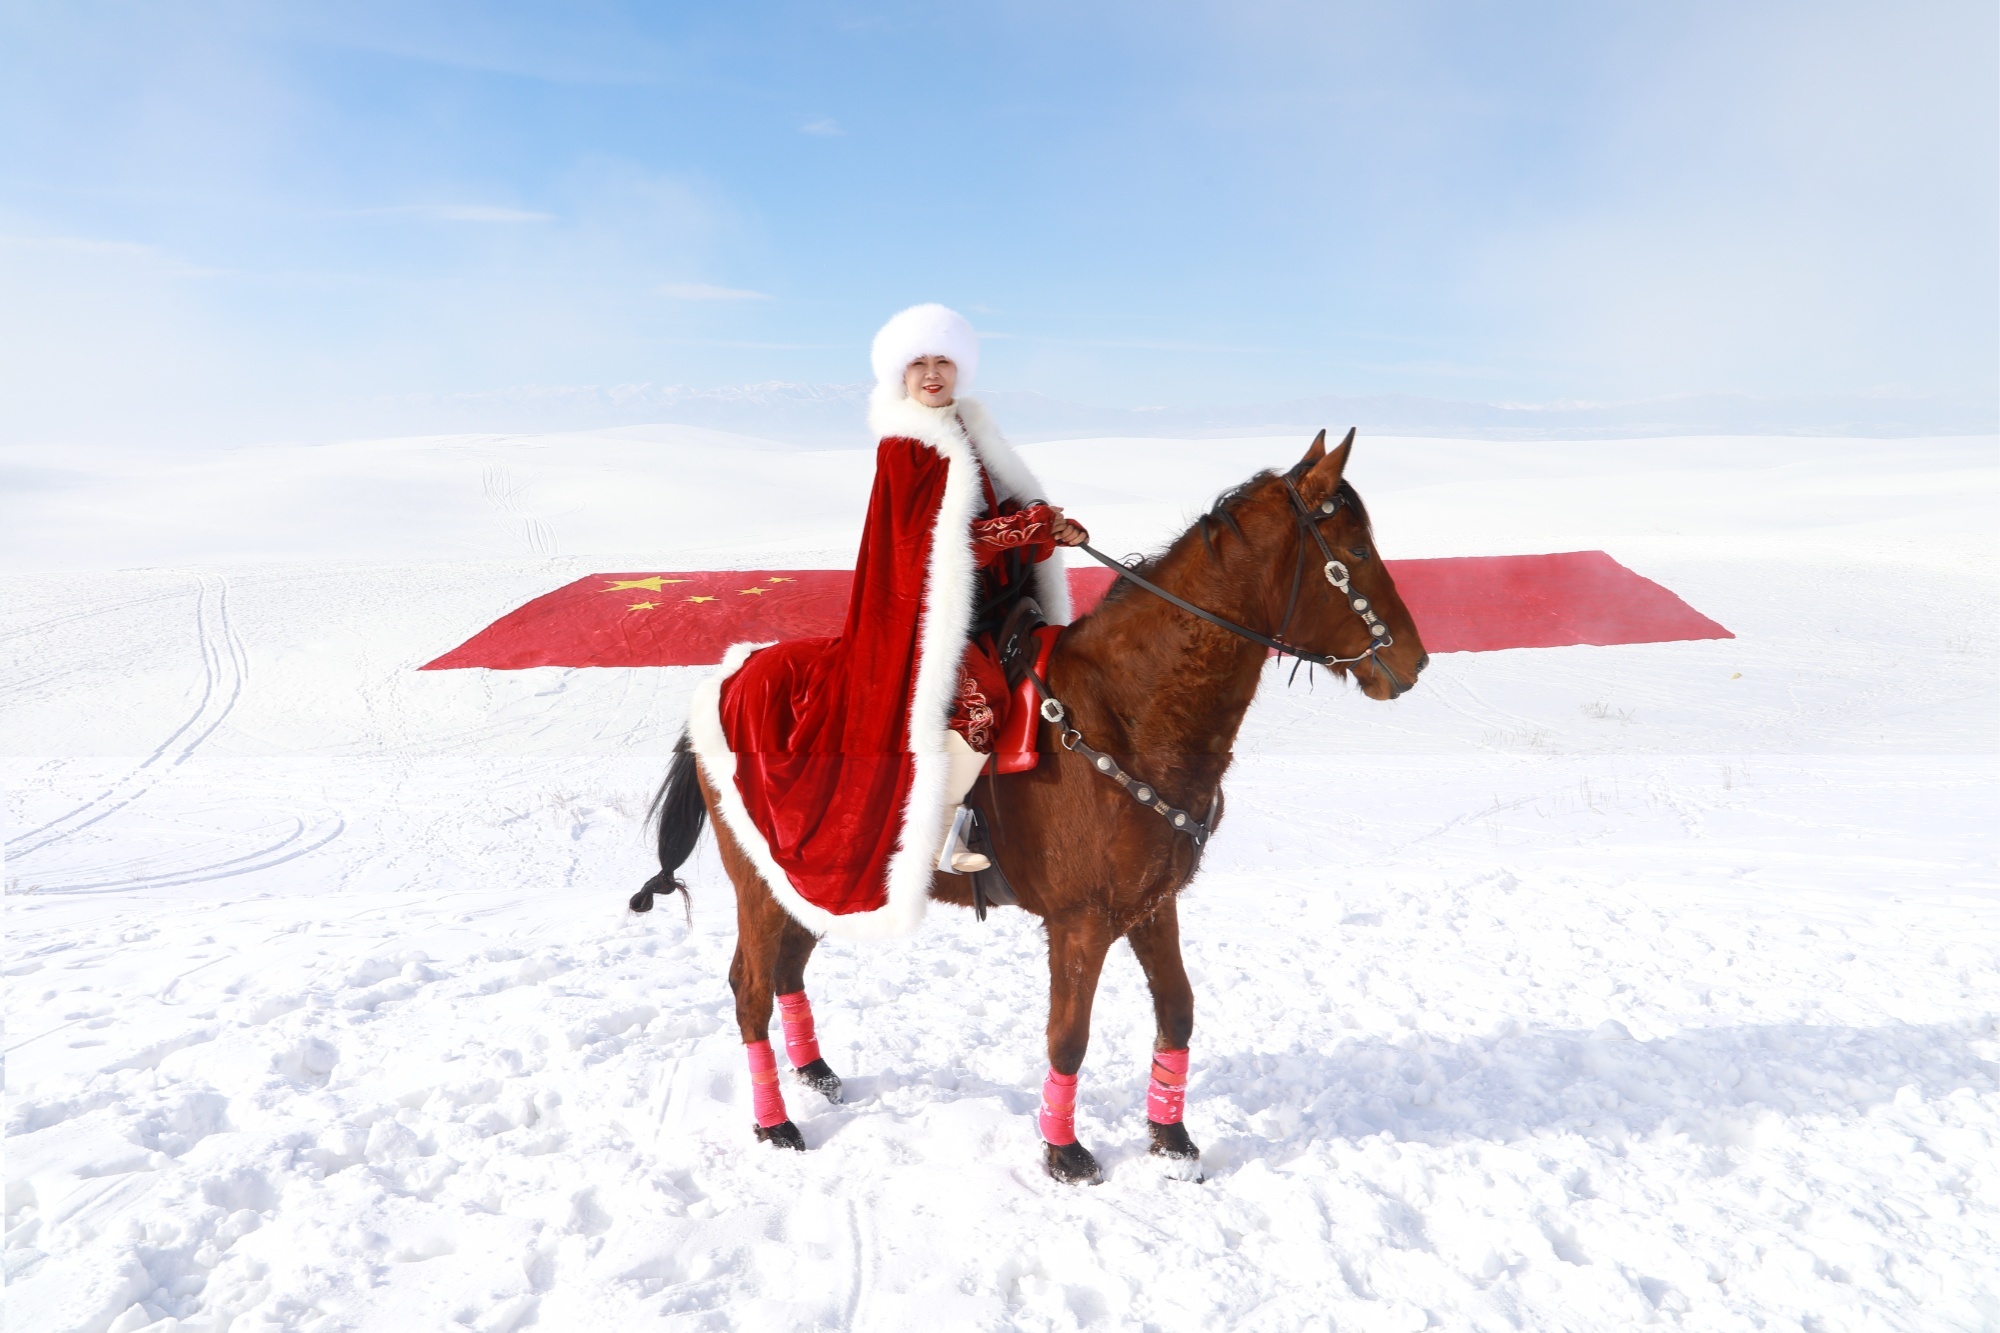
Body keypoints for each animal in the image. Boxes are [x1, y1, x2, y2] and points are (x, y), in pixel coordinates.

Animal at [631, 427, 1428, 1183]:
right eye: (1356, 549)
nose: (1415, 661)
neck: (1127, 710)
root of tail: (727, 677)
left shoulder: (1152, 902)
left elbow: (1177, 1012)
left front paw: (1171, 1142)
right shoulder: (1081, 921)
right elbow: (1068, 1036)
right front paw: (1065, 1151)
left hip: (810, 879)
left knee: (789, 969)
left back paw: (816, 1073)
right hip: (759, 884)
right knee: (750, 989)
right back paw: (775, 1123)